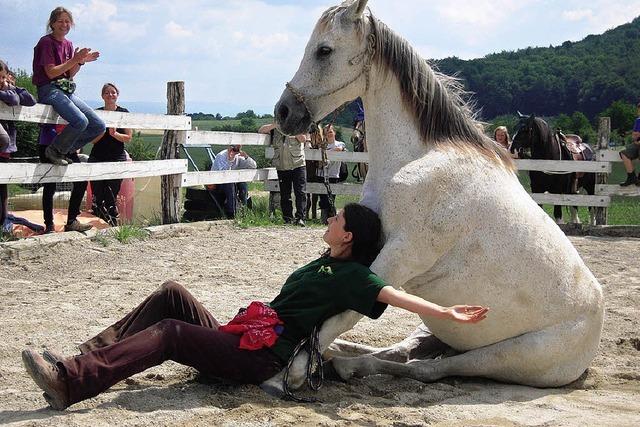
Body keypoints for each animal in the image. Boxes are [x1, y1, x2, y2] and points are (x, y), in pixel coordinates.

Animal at [262, 0, 604, 392]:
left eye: (324, 50)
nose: (284, 112)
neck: (417, 159)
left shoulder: (400, 256)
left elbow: (343, 314)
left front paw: (288, 374)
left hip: (503, 356)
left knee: (426, 369)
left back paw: (345, 365)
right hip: (433, 331)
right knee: (401, 352)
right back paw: (340, 359)